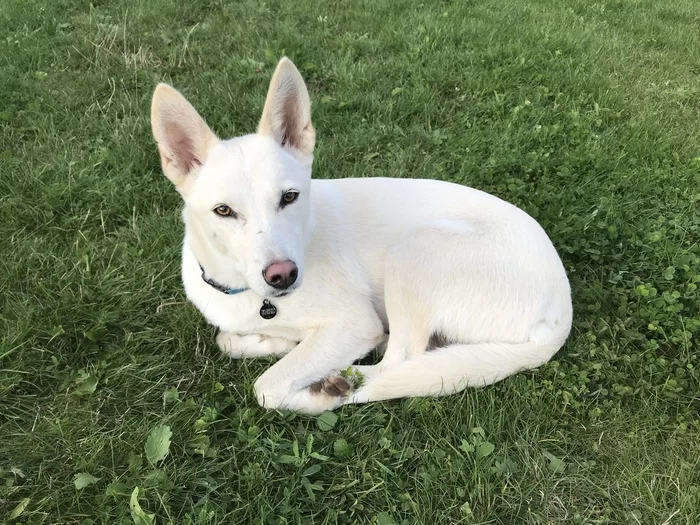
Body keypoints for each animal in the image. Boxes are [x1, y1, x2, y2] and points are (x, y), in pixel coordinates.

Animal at [150, 58, 572, 414]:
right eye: (224, 211)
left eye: (289, 197)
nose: (282, 275)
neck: (248, 294)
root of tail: (561, 310)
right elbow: (227, 339)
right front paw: (275, 342)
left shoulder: (353, 323)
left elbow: (267, 386)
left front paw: (304, 376)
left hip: (415, 250)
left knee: (399, 363)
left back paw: (337, 384)